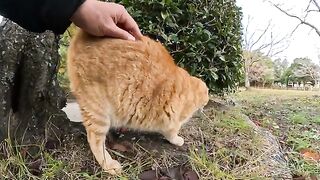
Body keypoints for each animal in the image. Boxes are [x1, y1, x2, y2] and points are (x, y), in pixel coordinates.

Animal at [66, 28, 209, 174]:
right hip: (98, 111)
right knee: (94, 140)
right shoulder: (173, 121)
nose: (206, 104)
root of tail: (82, 35)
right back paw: (109, 165)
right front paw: (178, 140)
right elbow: (172, 133)